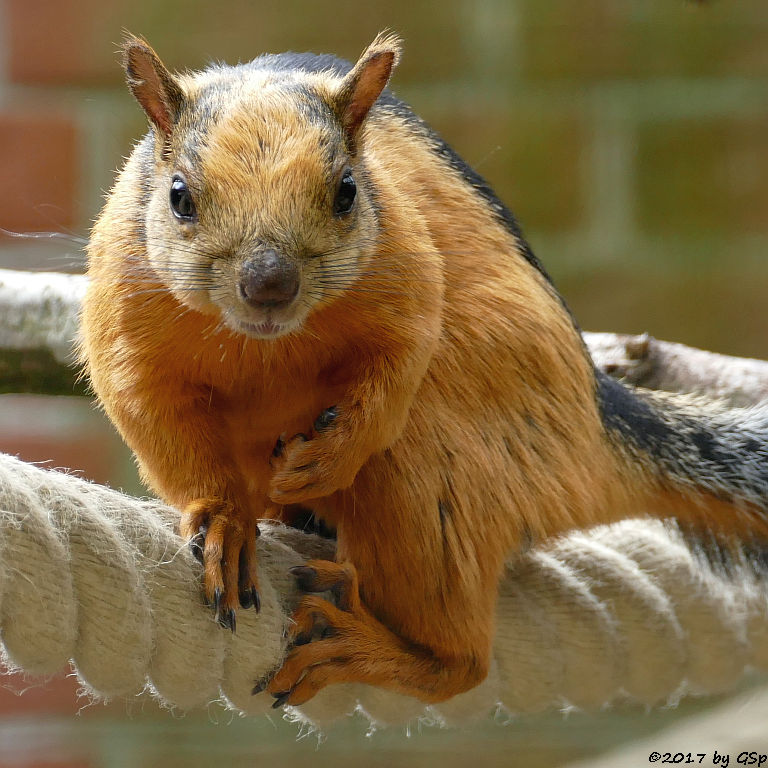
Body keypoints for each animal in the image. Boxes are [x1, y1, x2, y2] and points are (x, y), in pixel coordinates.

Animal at [79, 34, 768, 708]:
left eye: (348, 191)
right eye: (178, 196)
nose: (269, 284)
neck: (264, 346)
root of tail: (594, 434)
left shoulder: (407, 277)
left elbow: (398, 369)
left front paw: (330, 455)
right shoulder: (128, 328)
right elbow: (158, 421)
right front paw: (224, 523)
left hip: (431, 477)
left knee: (461, 661)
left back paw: (362, 646)